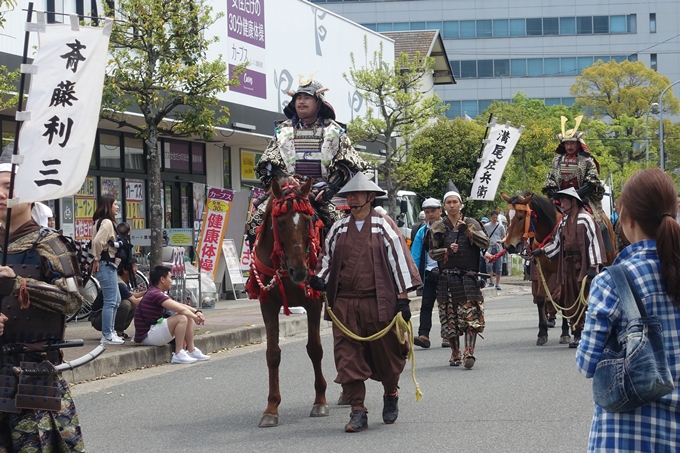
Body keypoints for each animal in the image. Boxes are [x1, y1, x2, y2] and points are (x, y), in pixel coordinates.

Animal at [244, 177, 330, 428]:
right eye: (280, 223)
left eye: (307, 221)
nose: (299, 271)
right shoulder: (268, 304)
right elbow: (272, 354)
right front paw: (271, 408)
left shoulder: (314, 302)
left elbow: (315, 349)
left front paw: (320, 401)